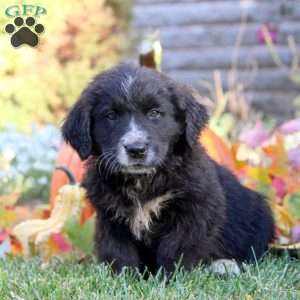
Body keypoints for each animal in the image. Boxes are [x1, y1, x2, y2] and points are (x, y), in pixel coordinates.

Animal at [62, 63, 274, 274]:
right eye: (111, 116)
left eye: (155, 113)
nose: (136, 149)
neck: (142, 181)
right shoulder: (110, 216)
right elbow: (118, 250)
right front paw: (124, 276)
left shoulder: (194, 209)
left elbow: (176, 248)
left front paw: (170, 277)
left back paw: (224, 265)